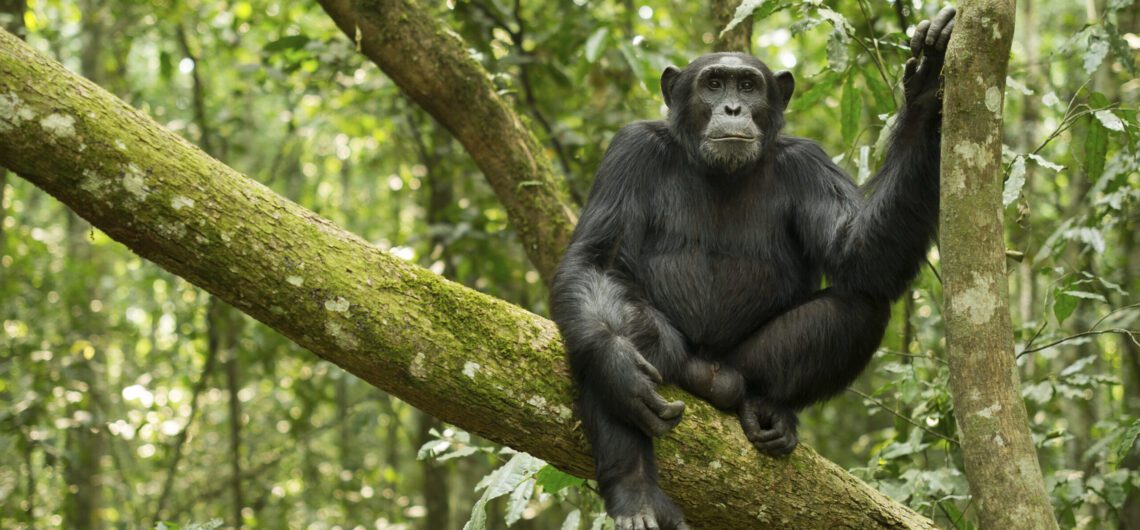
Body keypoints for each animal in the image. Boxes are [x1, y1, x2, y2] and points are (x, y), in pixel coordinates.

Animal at [547, 5, 957, 528]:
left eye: (747, 86)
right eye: (713, 84)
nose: (732, 110)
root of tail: (711, 373)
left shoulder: (808, 163)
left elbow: (860, 254)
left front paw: (925, 88)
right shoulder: (630, 150)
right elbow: (594, 262)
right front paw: (617, 366)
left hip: (744, 366)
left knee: (860, 304)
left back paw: (767, 406)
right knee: (627, 326)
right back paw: (635, 491)